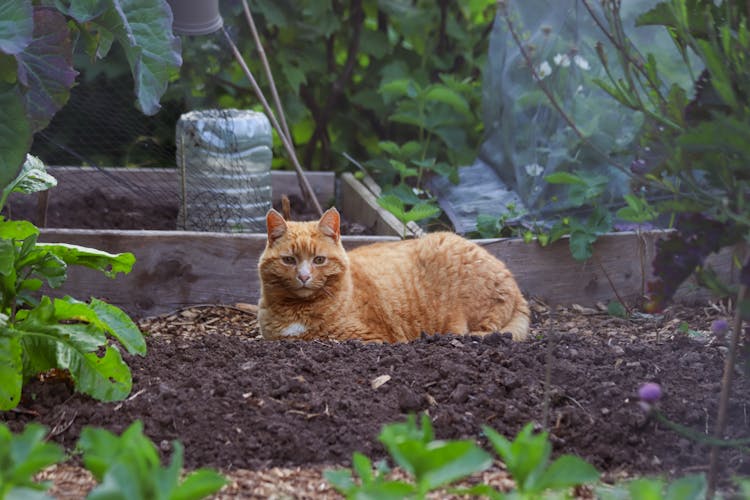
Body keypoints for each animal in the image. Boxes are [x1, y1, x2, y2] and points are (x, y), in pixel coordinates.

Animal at [258, 208, 536, 344]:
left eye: (319, 260)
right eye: (289, 260)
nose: (304, 276)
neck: (297, 309)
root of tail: (515, 285)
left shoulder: (367, 338)